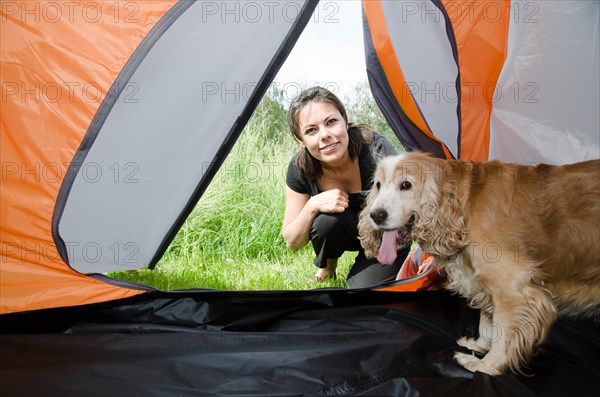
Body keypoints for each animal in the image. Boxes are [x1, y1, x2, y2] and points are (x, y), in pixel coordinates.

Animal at [358, 151, 596, 374]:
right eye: (378, 185)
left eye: (406, 185)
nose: (375, 215)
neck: (464, 202)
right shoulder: (483, 282)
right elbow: (488, 323)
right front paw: (479, 346)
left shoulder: (512, 286)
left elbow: (504, 332)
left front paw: (486, 365)